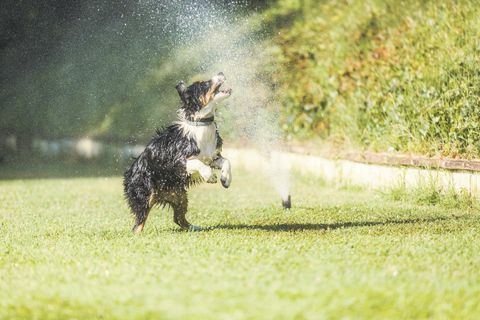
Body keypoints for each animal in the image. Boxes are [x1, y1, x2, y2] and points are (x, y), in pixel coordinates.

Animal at [122, 72, 231, 232]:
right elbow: (197, 163)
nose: (221, 73)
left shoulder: (212, 156)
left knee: (178, 218)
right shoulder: (176, 162)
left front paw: (226, 179)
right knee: (138, 225)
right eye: (204, 84)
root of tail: (129, 172)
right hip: (144, 196)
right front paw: (210, 176)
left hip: (179, 196)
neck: (200, 125)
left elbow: (226, 161)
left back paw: (195, 228)